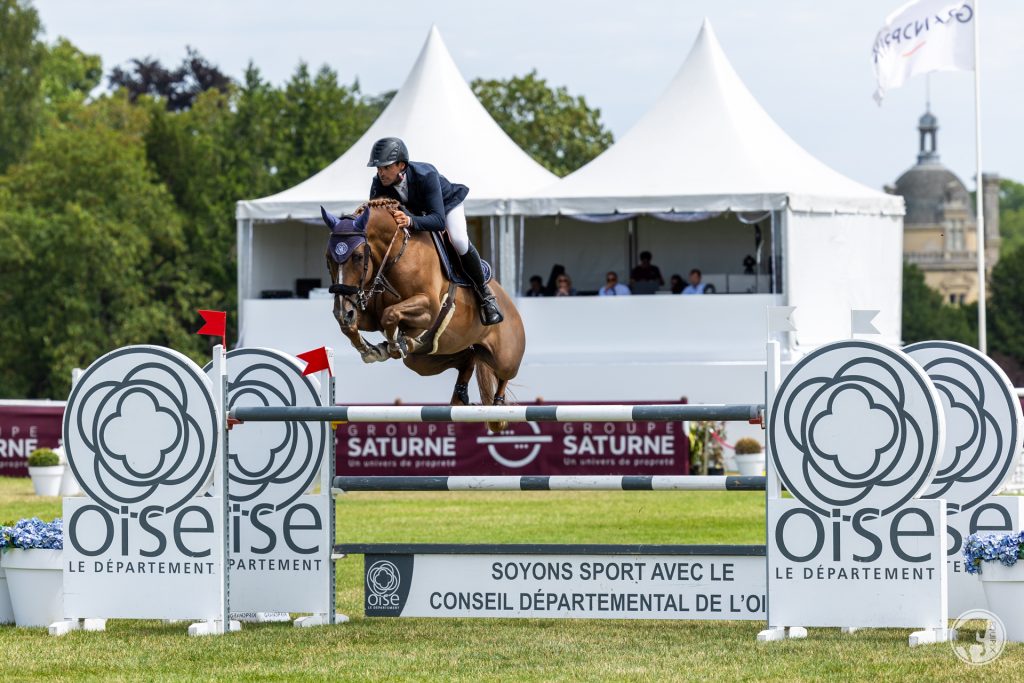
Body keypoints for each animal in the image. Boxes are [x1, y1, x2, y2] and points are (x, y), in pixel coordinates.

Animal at [321, 197, 528, 428]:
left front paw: (395, 345)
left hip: (505, 357)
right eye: (328, 258)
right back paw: (459, 396)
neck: (395, 255)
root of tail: (510, 303)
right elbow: (354, 325)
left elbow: (390, 315)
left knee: (503, 374)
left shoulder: (429, 308)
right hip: (424, 361)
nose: (342, 310)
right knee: (468, 358)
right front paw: (371, 349)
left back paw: (498, 410)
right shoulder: (370, 313)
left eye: (357, 257)